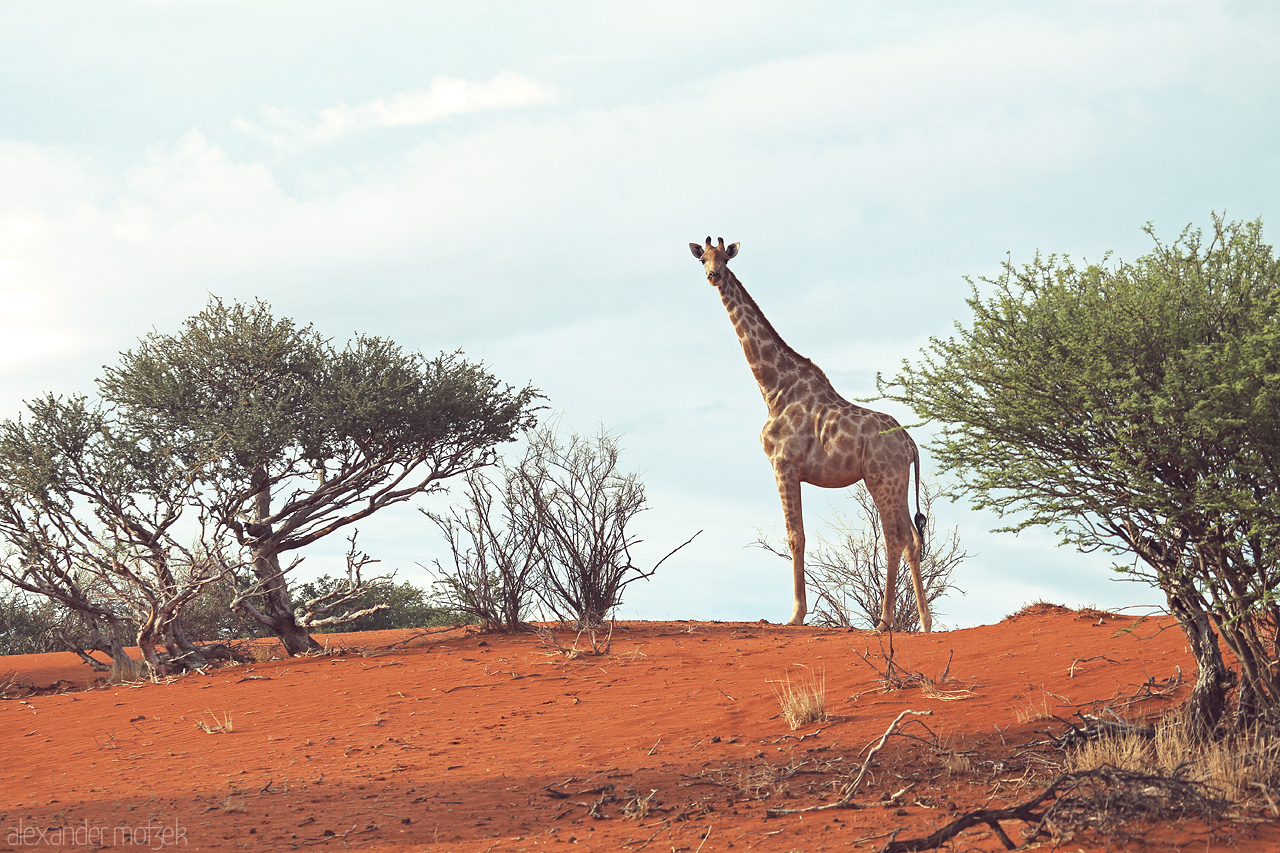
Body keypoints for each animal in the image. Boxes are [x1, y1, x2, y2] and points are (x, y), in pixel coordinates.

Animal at [691, 235, 931, 627]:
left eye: (725, 258)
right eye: (703, 260)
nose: (713, 276)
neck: (773, 388)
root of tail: (910, 442)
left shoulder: (784, 464)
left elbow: (795, 536)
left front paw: (796, 615)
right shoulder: (793, 469)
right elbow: (799, 535)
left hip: (881, 480)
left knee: (895, 538)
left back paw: (883, 622)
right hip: (897, 484)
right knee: (912, 539)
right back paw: (925, 624)